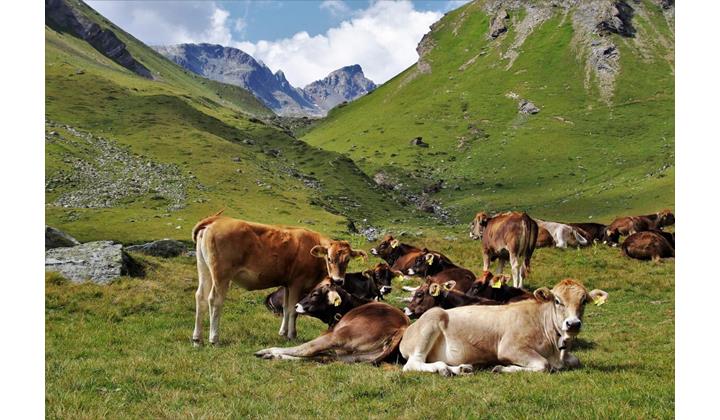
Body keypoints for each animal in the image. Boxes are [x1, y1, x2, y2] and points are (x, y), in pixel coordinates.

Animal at [191, 213, 367, 344]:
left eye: (347, 260)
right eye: (329, 258)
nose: (338, 281)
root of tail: (217, 220)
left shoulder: (287, 284)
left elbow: (286, 308)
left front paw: (283, 332)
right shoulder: (297, 283)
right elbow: (293, 310)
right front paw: (292, 335)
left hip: (204, 269)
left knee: (200, 297)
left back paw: (197, 338)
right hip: (221, 274)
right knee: (214, 300)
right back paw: (214, 338)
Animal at [255, 302, 410, 364]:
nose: (297, 306)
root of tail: (401, 327)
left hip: (339, 337)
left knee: (308, 349)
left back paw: (268, 352)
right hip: (356, 356)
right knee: (323, 357)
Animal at [399, 279, 609, 375]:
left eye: (584, 301)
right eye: (557, 301)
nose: (573, 324)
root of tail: (407, 331)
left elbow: (576, 361)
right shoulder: (510, 347)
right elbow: (543, 365)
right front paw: (502, 368)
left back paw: (461, 369)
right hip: (432, 319)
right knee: (412, 364)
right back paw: (443, 369)